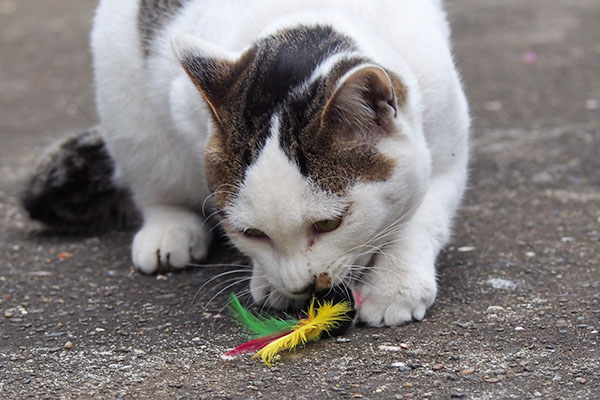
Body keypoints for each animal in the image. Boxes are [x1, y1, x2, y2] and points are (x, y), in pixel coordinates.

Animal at [22, 0, 468, 328]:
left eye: (329, 224)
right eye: (252, 233)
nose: (303, 284)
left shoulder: (449, 141)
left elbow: (422, 219)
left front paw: (395, 286)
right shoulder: (179, 107)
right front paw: (270, 280)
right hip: (128, 109)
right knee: (154, 184)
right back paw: (169, 230)